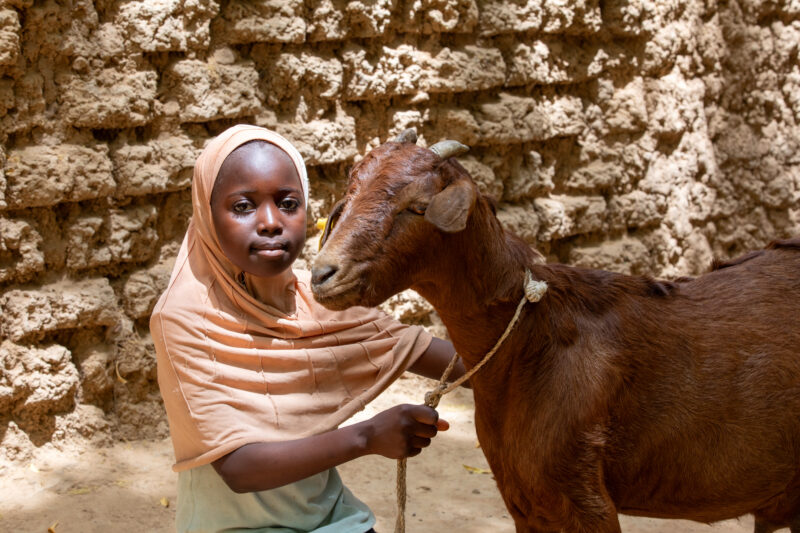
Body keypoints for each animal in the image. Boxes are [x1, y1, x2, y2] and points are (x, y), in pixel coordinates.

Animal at [310, 131, 800, 533]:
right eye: (349, 196)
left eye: (416, 207)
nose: (322, 275)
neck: (530, 340)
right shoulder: (524, 502)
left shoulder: (582, 498)